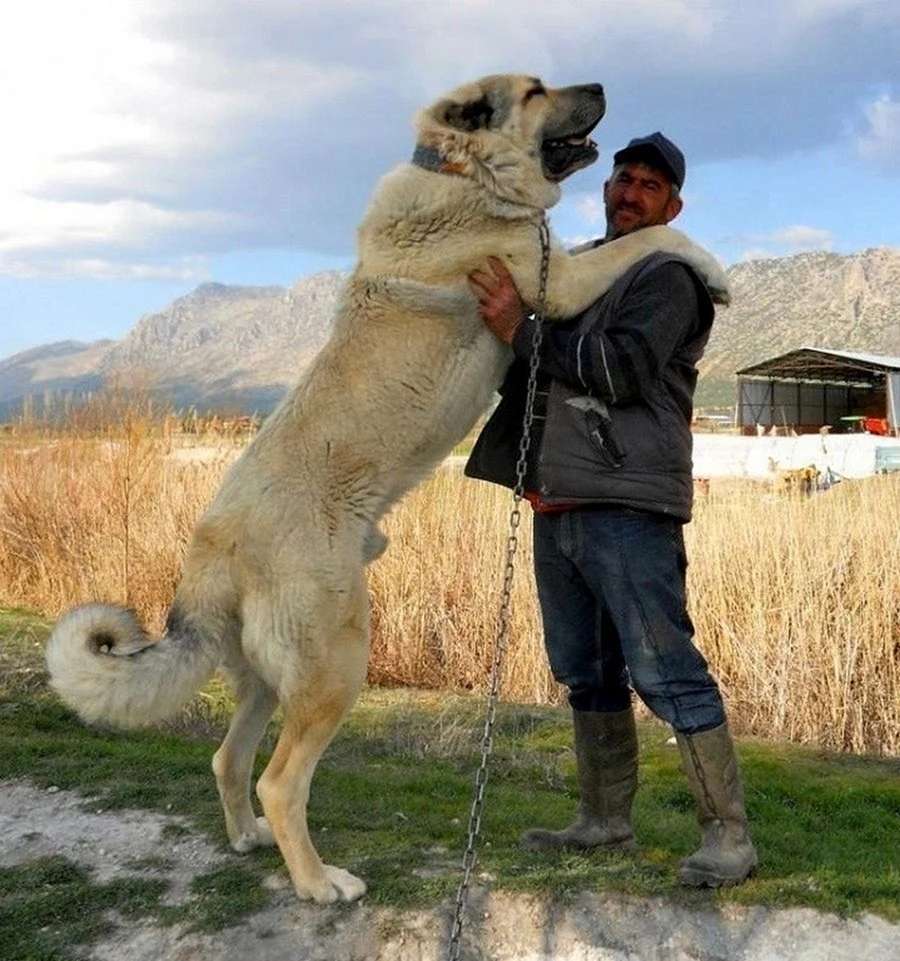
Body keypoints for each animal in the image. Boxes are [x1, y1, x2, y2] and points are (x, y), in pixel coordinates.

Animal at [45, 73, 728, 900]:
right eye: (536, 89)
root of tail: (213, 548)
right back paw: (318, 882)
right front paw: (714, 269)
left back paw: (247, 838)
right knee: (280, 780)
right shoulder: (557, 280)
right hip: (336, 663)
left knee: (229, 756)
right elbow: (647, 242)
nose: (599, 84)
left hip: (269, 677)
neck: (463, 172)